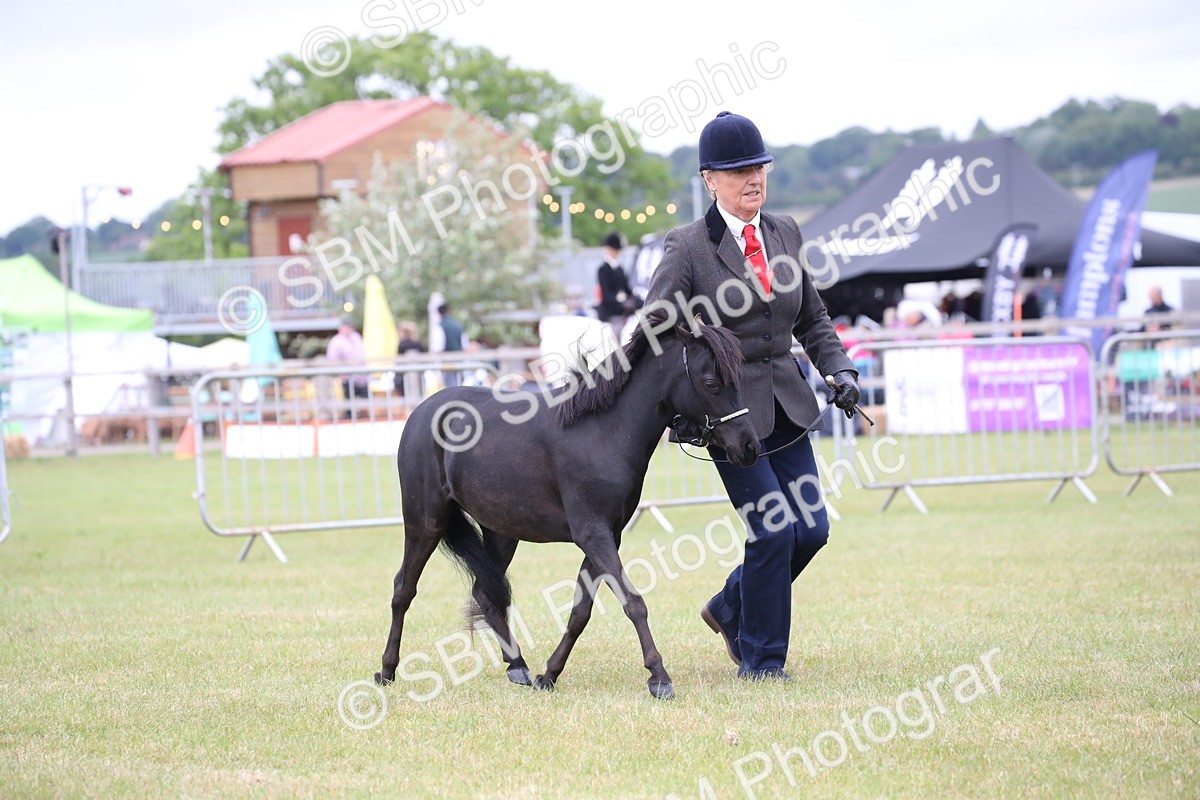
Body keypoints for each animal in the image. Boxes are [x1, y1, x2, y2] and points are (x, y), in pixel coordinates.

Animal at [374, 309, 759, 699]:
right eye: (711, 383)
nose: (749, 447)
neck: (602, 430)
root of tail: (421, 412)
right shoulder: (593, 534)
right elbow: (633, 602)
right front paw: (659, 676)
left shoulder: (606, 536)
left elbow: (580, 612)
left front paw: (549, 674)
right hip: (425, 522)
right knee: (403, 589)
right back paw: (387, 669)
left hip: (501, 532)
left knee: (485, 591)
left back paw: (519, 667)